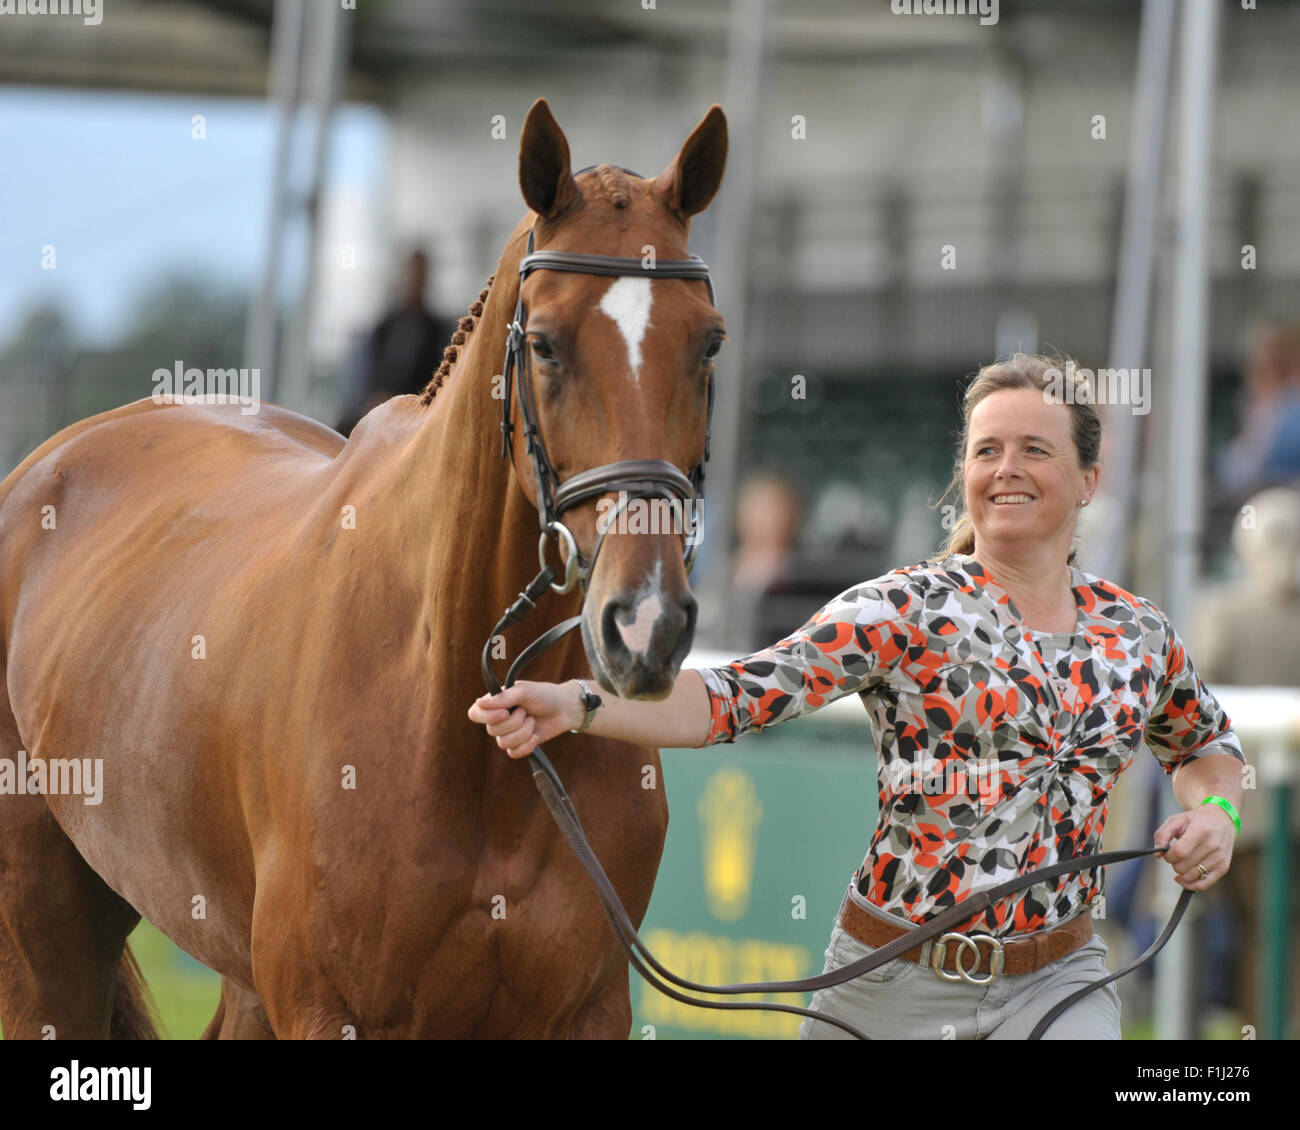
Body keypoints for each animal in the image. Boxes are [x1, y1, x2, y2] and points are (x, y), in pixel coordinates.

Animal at [0, 97, 727, 1039]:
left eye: (708, 345)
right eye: (546, 346)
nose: (646, 624)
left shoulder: (585, 1011)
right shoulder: (327, 1008)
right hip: (46, 931)